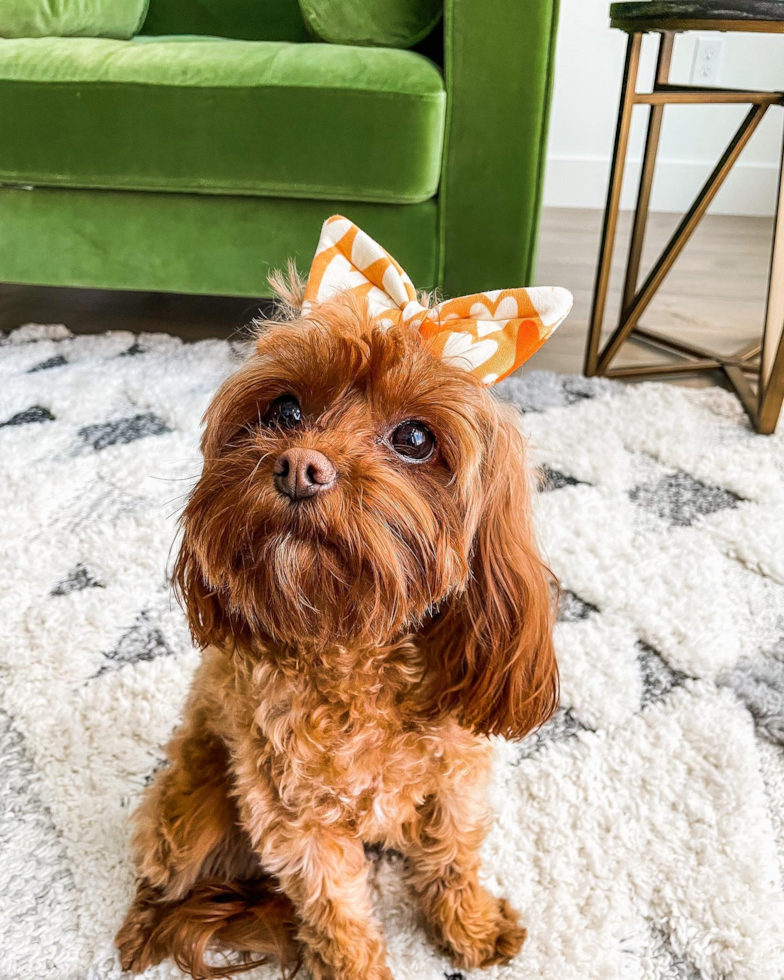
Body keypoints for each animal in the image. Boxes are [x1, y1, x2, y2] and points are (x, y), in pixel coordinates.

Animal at [116, 218, 568, 976]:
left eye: (414, 437)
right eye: (285, 408)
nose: (300, 465)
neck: (352, 644)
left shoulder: (457, 778)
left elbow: (452, 857)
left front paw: (469, 927)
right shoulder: (296, 819)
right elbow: (337, 914)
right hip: (188, 815)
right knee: (164, 883)